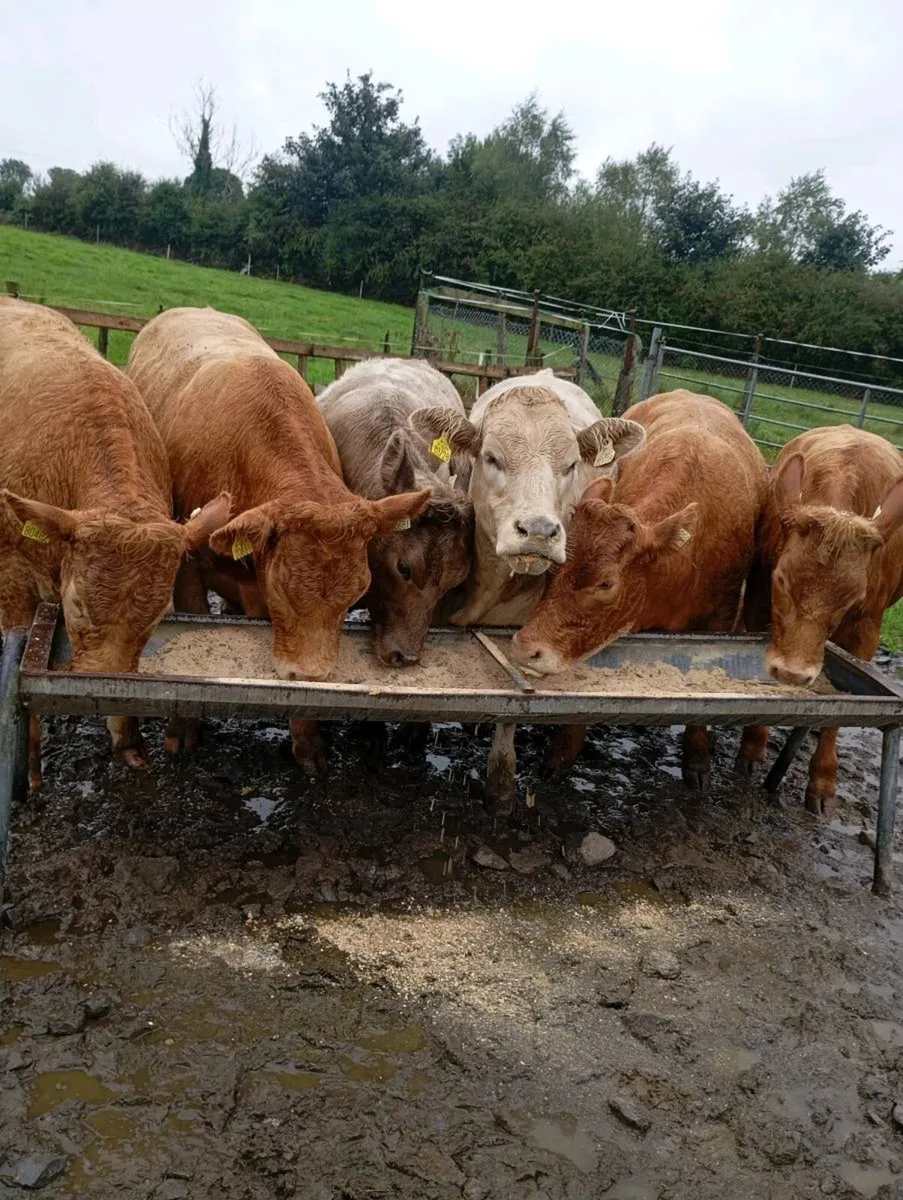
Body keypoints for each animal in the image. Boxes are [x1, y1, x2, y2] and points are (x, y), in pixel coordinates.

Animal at [126, 307, 431, 773]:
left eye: (356, 594)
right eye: (281, 590)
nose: (311, 675)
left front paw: (308, 743)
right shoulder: (189, 560)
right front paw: (183, 730)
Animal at [510, 390, 768, 789]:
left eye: (606, 583)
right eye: (553, 568)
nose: (525, 649)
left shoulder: (722, 617)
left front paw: (698, 761)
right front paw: (563, 753)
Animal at [742, 425, 903, 816]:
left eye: (854, 598)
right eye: (781, 580)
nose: (793, 674)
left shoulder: (867, 628)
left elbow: (837, 719)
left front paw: (823, 780)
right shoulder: (757, 596)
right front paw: (752, 745)